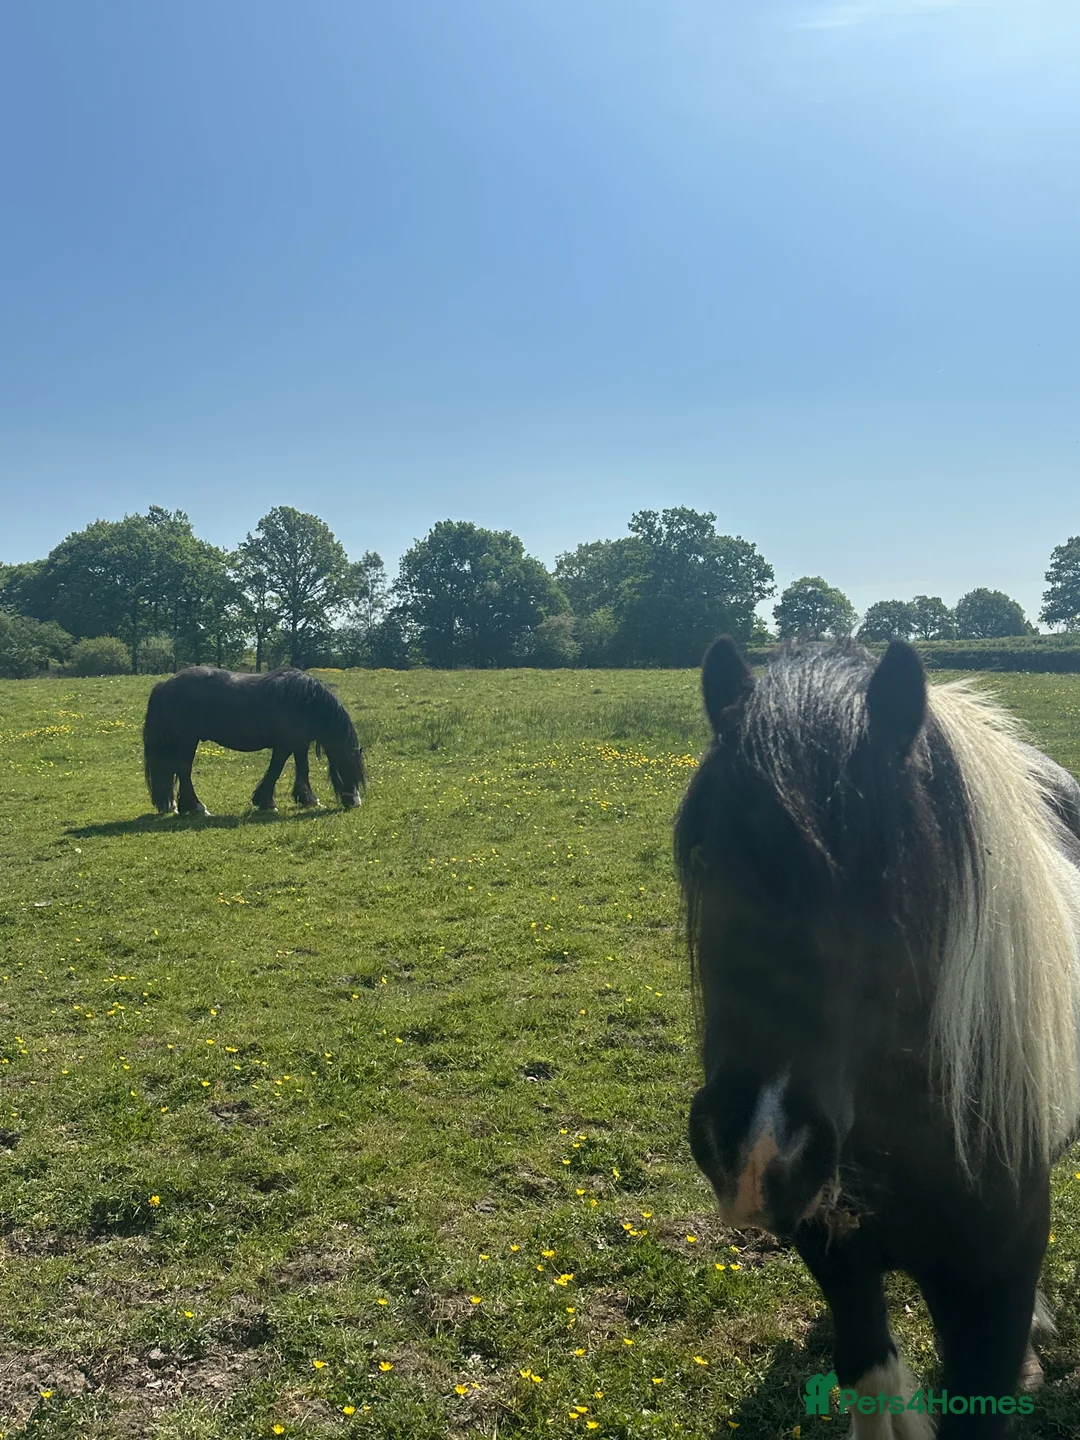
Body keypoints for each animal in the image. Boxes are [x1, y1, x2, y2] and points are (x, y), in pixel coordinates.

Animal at [142, 666, 366, 816]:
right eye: (347, 769)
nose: (356, 802)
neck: (307, 702)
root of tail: (166, 684)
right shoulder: (283, 746)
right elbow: (275, 770)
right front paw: (266, 802)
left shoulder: (299, 744)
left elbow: (303, 769)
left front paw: (308, 799)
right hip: (187, 740)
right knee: (183, 771)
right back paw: (198, 807)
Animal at [674, 636, 1080, 1437]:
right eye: (703, 856)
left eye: (887, 873)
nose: (755, 1152)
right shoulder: (835, 1255)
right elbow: (871, 1373)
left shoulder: (991, 1293)